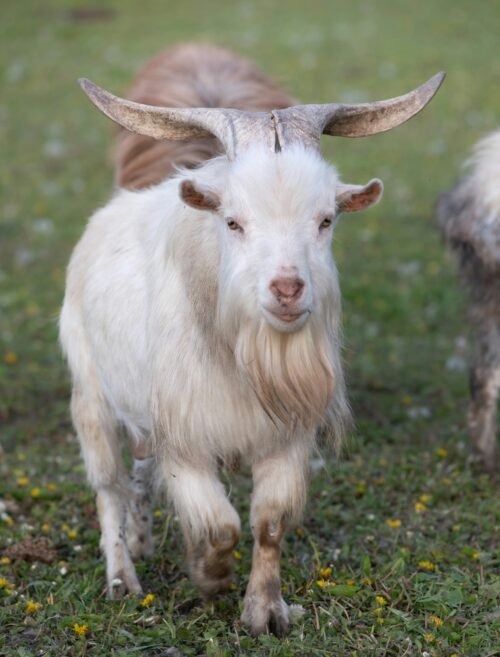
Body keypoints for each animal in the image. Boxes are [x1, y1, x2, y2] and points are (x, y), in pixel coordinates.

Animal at [60, 43, 444, 636]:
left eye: (326, 220)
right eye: (233, 221)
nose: (287, 288)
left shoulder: (287, 437)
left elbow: (267, 523)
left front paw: (265, 612)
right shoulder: (187, 438)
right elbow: (220, 524)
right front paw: (208, 575)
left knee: (139, 472)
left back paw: (143, 542)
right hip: (90, 392)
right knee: (108, 485)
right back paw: (123, 579)